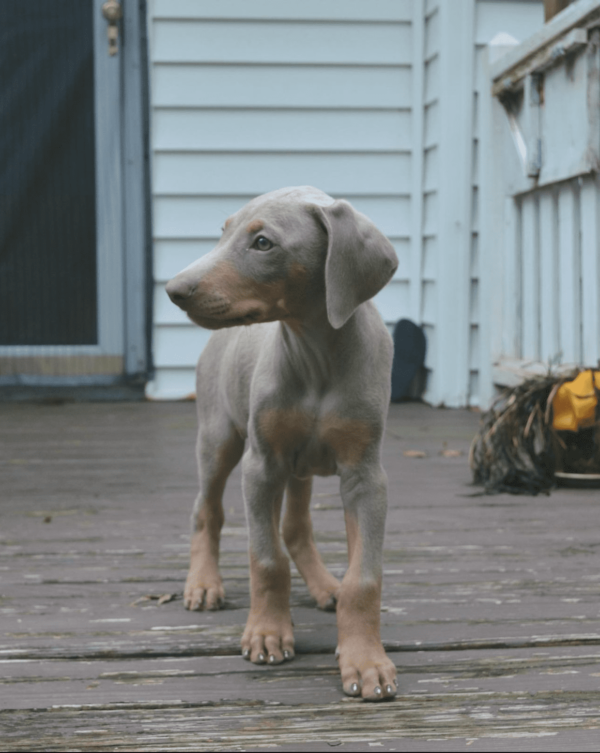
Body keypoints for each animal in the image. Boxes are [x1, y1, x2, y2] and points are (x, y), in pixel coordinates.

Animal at [164, 187, 398, 700]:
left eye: (263, 243)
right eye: (224, 231)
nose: (173, 290)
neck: (316, 354)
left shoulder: (365, 475)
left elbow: (364, 576)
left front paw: (365, 661)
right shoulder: (262, 463)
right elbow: (266, 559)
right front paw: (268, 633)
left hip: (300, 466)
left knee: (293, 527)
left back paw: (325, 586)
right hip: (221, 440)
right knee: (207, 511)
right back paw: (203, 584)